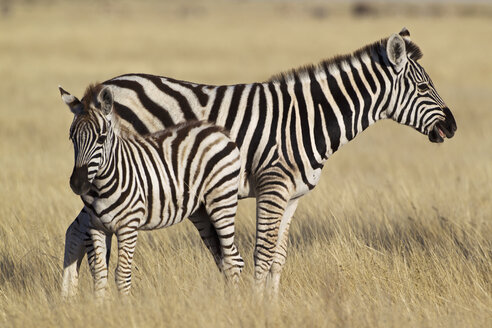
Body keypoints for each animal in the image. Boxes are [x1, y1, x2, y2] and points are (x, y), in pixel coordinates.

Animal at [60, 84, 245, 294]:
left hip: (222, 201)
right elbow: (99, 274)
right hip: (201, 211)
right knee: (230, 258)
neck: (102, 186)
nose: (78, 184)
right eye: (72, 137)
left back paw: (233, 299)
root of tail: (218, 130)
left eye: (101, 138)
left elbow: (122, 275)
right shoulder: (96, 228)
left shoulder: (128, 227)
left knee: (231, 260)